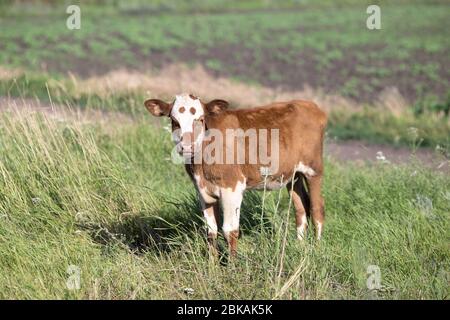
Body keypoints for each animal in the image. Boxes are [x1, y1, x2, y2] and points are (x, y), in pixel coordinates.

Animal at [145, 94, 326, 256]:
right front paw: (212, 266)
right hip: (293, 175)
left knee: (317, 209)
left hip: (314, 169)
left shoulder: (232, 188)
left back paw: (316, 250)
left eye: (200, 119)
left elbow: (229, 230)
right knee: (301, 209)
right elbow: (211, 231)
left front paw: (232, 267)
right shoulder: (202, 190)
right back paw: (300, 247)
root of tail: (310, 105)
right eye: (174, 121)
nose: (187, 146)